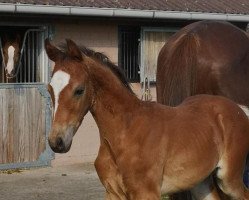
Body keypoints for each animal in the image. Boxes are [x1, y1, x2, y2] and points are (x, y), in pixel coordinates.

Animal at [45, 38, 249, 199]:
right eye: (49, 89)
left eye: (79, 90)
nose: (57, 142)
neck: (125, 131)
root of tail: (238, 109)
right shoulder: (112, 193)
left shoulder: (146, 192)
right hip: (201, 183)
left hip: (229, 179)